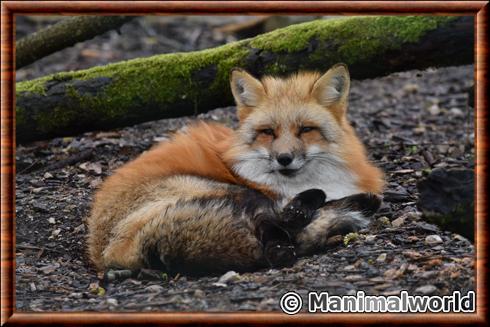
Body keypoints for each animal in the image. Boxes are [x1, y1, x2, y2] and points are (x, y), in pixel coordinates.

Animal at [89, 62, 386, 276]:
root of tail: (105, 253)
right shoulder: (267, 194)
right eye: (268, 132)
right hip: (226, 192)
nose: (284, 158)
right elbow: (299, 209)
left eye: (305, 130)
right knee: (278, 227)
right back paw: (284, 245)